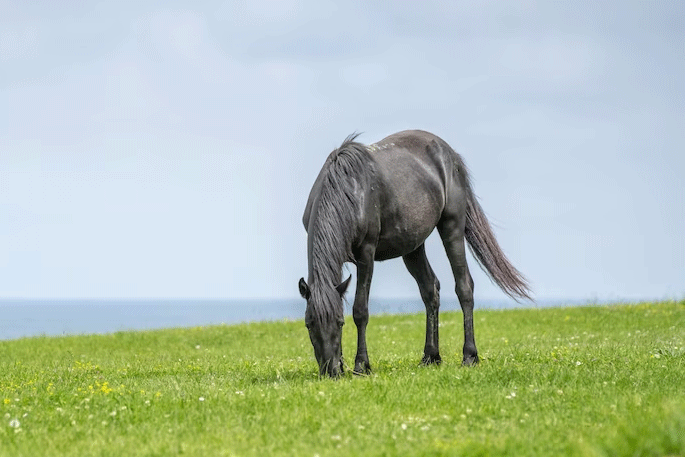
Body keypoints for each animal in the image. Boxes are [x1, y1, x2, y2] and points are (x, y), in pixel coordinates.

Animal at [298, 130, 528, 376]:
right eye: (309, 324)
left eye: (340, 322)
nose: (330, 371)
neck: (349, 190)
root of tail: (449, 154)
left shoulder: (366, 255)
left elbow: (360, 310)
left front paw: (361, 365)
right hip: (413, 246)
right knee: (430, 289)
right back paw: (431, 356)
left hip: (452, 227)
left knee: (464, 286)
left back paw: (469, 356)